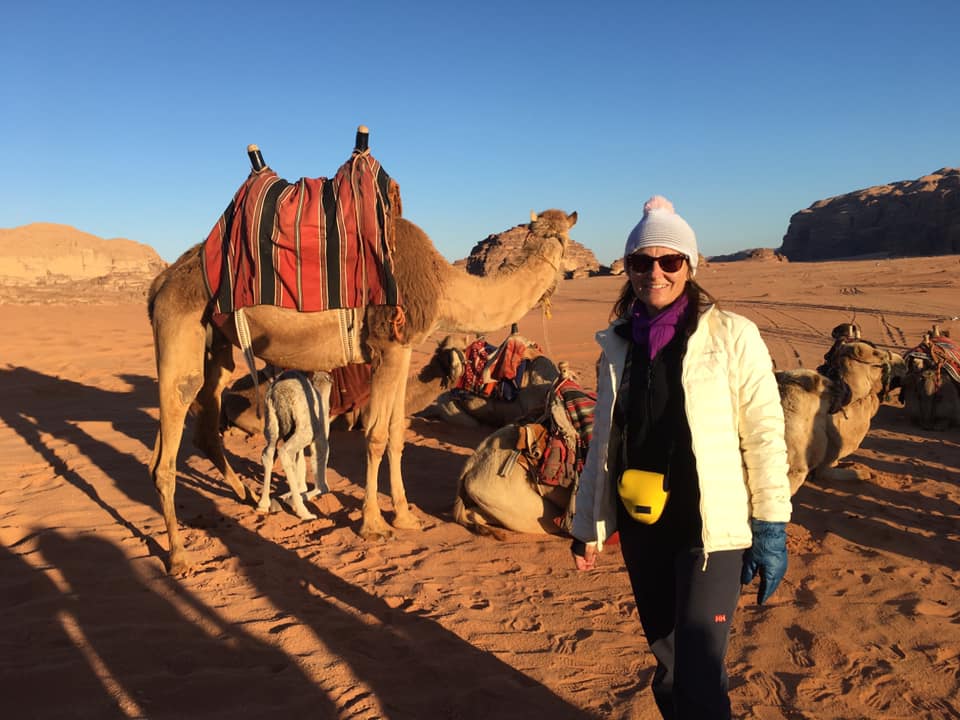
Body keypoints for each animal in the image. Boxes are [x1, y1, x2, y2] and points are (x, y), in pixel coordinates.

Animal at [148, 209, 576, 571]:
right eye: (563, 240)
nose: (570, 269)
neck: (441, 284)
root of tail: (159, 284)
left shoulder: (404, 348)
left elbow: (398, 434)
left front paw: (405, 516)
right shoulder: (387, 344)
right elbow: (376, 434)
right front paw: (373, 523)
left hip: (215, 345)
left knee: (199, 426)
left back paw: (251, 499)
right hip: (178, 326)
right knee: (171, 441)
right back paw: (179, 556)